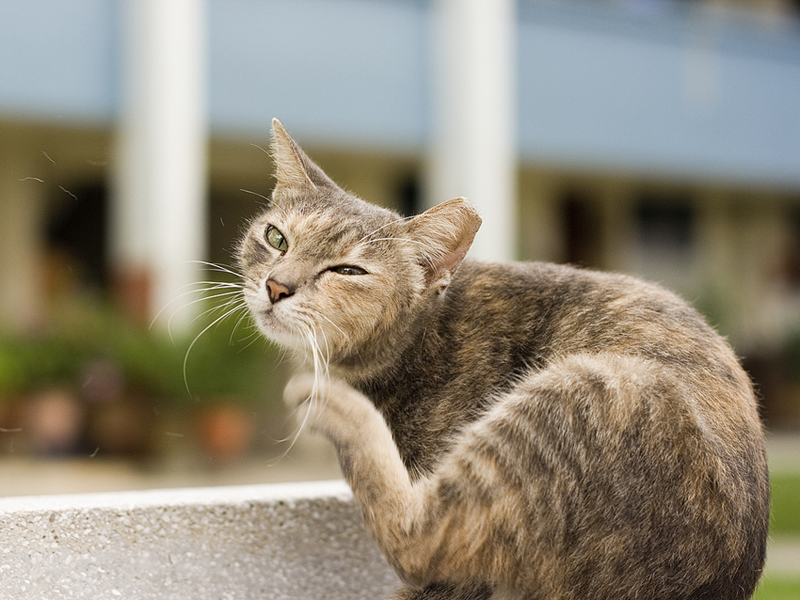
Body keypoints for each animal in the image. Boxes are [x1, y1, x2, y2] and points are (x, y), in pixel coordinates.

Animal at [238, 118, 768, 600]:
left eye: (348, 271)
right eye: (276, 238)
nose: (277, 285)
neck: (414, 343)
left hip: (591, 388)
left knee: (419, 541)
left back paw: (333, 407)